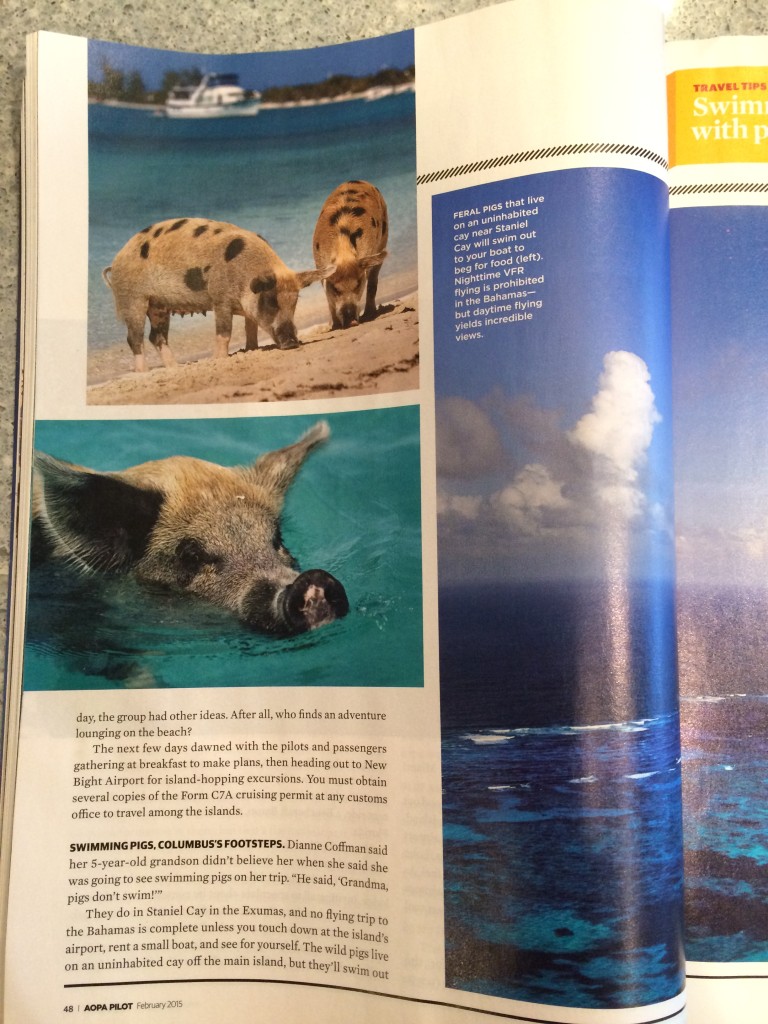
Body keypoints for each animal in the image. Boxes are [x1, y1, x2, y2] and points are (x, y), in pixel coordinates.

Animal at [100, 216, 331, 372]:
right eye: (270, 301)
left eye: (294, 302)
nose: (292, 343)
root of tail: (115, 261)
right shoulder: (220, 299)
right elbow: (224, 332)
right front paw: (219, 359)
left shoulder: (247, 308)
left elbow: (251, 329)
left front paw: (251, 349)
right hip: (133, 300)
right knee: (134, 337)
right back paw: (144, 372)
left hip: (158, 306)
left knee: (156, 336)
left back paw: (175, 368)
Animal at [313, 180, 387, 329]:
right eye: (335, 289)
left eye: (358, 284)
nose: (352, 321)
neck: (344, 253)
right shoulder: (321, 266)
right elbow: (328, 299)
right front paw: (334, 327)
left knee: (373, 280)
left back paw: (369, 314)